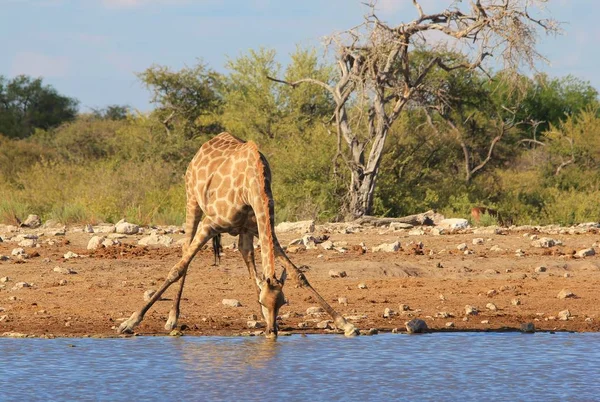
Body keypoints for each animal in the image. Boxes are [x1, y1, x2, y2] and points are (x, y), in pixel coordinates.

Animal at [119, 133, 358, 338]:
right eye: (263, 303)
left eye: (282, 303)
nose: (272, 331)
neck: (253, 187)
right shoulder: (210, 225)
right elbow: (177, 269)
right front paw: (130, 322)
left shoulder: (262, 229)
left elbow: (299, 274)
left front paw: (346, 324)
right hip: (192, 202)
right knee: (185, 252)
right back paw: (172, 318)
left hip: (243, 231)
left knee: (246, 255)